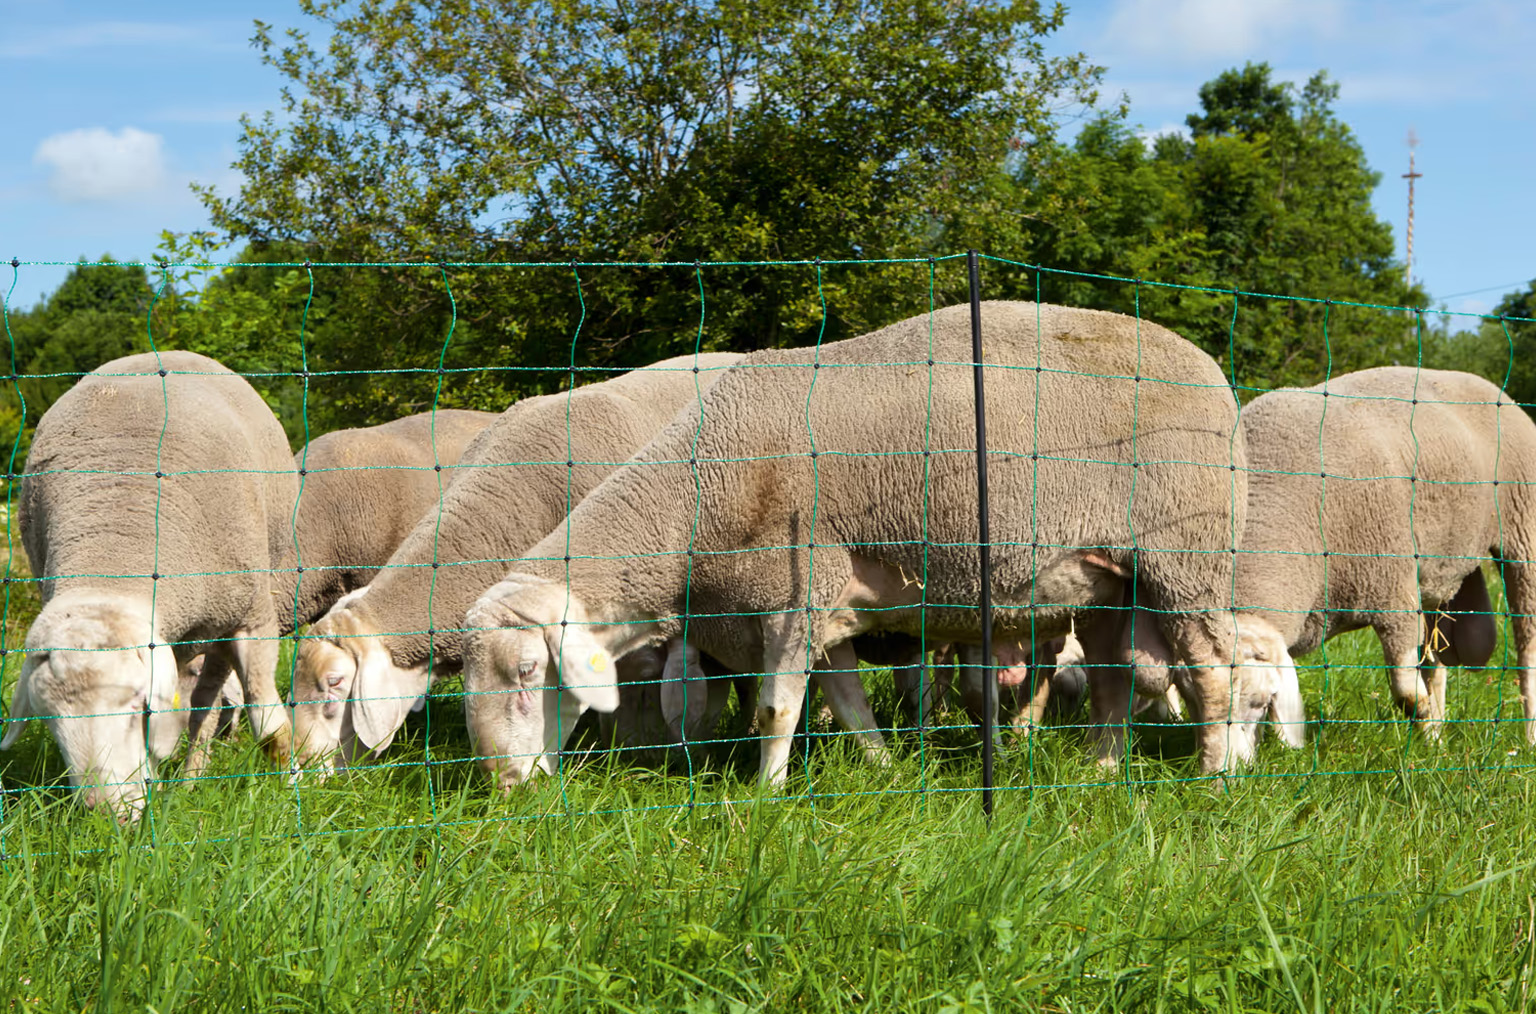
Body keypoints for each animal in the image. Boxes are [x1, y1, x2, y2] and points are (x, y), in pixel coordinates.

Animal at [1, 351, 299, 818]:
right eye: (48, 719)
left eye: (136, 706)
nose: (106, 814)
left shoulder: (252, 617)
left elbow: (269, 726)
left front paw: (296, 791)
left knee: (206, 703)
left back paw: (193, 777)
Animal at [461, 300, 1281, 790]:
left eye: (529, 671)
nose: (506, 787)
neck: (694, 509)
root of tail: (1209, 367)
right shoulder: (823, 610)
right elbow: (850, 702)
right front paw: (882, 766)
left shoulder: (793, 594)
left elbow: (776, 711)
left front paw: (764, 799)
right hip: (1112, 579)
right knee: (1113, 682)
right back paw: (1101, 773)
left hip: (1187, 561)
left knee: (1213, 674)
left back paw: (1213, 779)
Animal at [1230, 366, 1536, 749]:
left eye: (1255, 700)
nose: (1222, 767)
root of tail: (1488, 385)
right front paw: (1434, 736)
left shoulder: (1394, 590)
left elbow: (1407, 692)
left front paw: (1429, 735)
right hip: (1436, 568)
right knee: (1435, 657)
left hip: (1523, 530)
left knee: (1527, 646)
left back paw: (1528, 736)